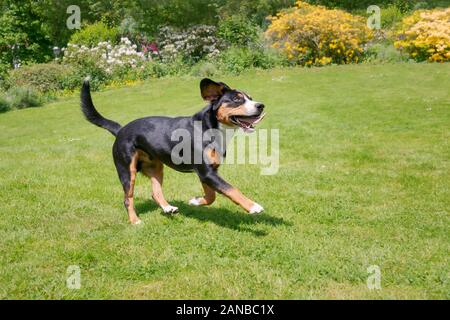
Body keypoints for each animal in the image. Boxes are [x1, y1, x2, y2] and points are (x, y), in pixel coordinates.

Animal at [81, 78, 266, 224]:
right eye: (237, 99)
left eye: (250, 98)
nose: (261, 105)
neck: (210, 129)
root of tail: (121, 130)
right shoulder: (206, 172)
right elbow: (231, 190)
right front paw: (253, 206)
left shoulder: (207, 173)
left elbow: (211, 196)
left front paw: (195, 201)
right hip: (127, 171)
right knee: (128, 199)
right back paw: (135, 221)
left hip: (156, 167)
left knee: (155, 193)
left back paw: (167, 208)